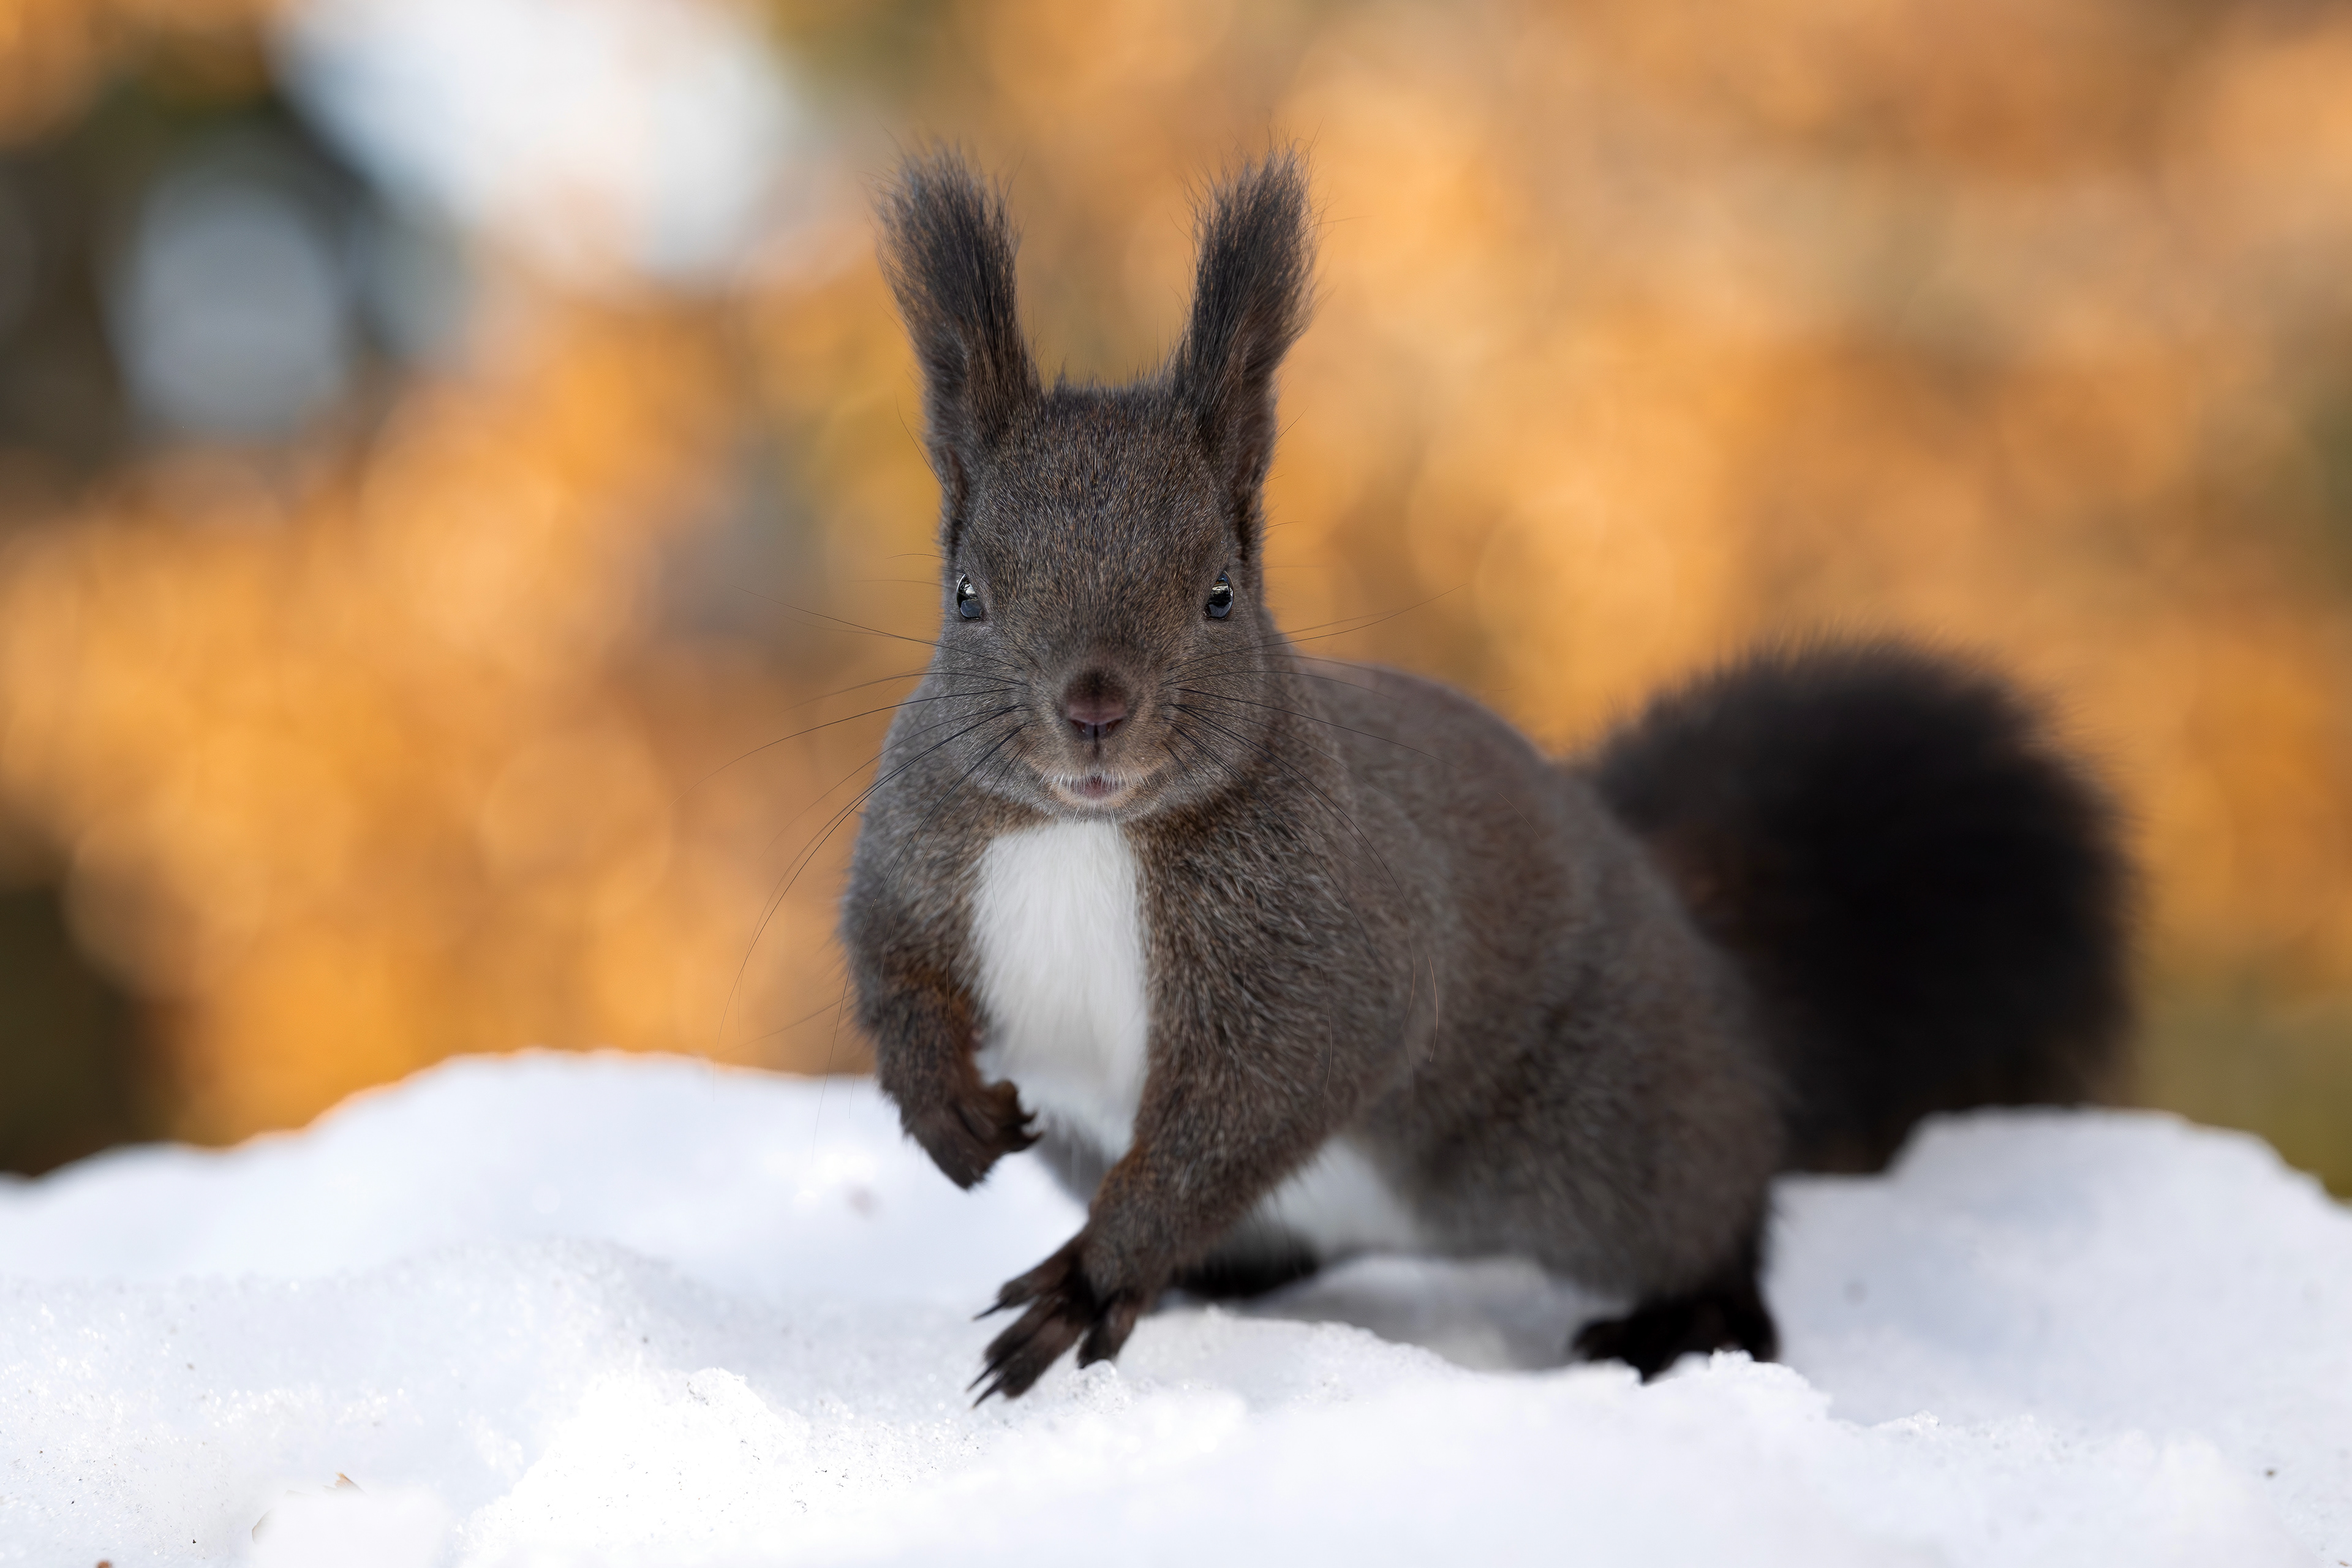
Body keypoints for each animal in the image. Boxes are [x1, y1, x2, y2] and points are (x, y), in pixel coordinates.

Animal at [839, 148, 2130, 1400]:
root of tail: (1700, 951)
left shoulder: (1332, 946)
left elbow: (1258, 1102)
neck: (1086, 832)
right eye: (968, 596)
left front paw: (1091, 1280)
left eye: (1219, 595)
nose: (1096, 707)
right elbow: (890, 969)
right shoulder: (911, 849)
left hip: (1611, 1135)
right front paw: (941, 1108)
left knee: (1721, 1220)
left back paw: (1683, 1321)